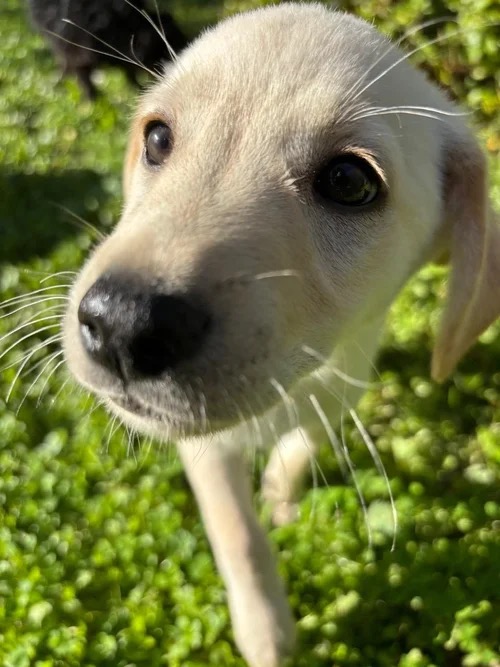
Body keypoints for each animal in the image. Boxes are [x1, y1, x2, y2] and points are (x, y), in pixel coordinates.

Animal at [62, 4, 500, 666]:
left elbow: (303, 444)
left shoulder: (340, 389)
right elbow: (238, 534)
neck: (287, 390)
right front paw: (265, 631)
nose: (119, 324)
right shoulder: (207, 449)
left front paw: (280, 495)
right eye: (158, 138)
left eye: (349, 181)